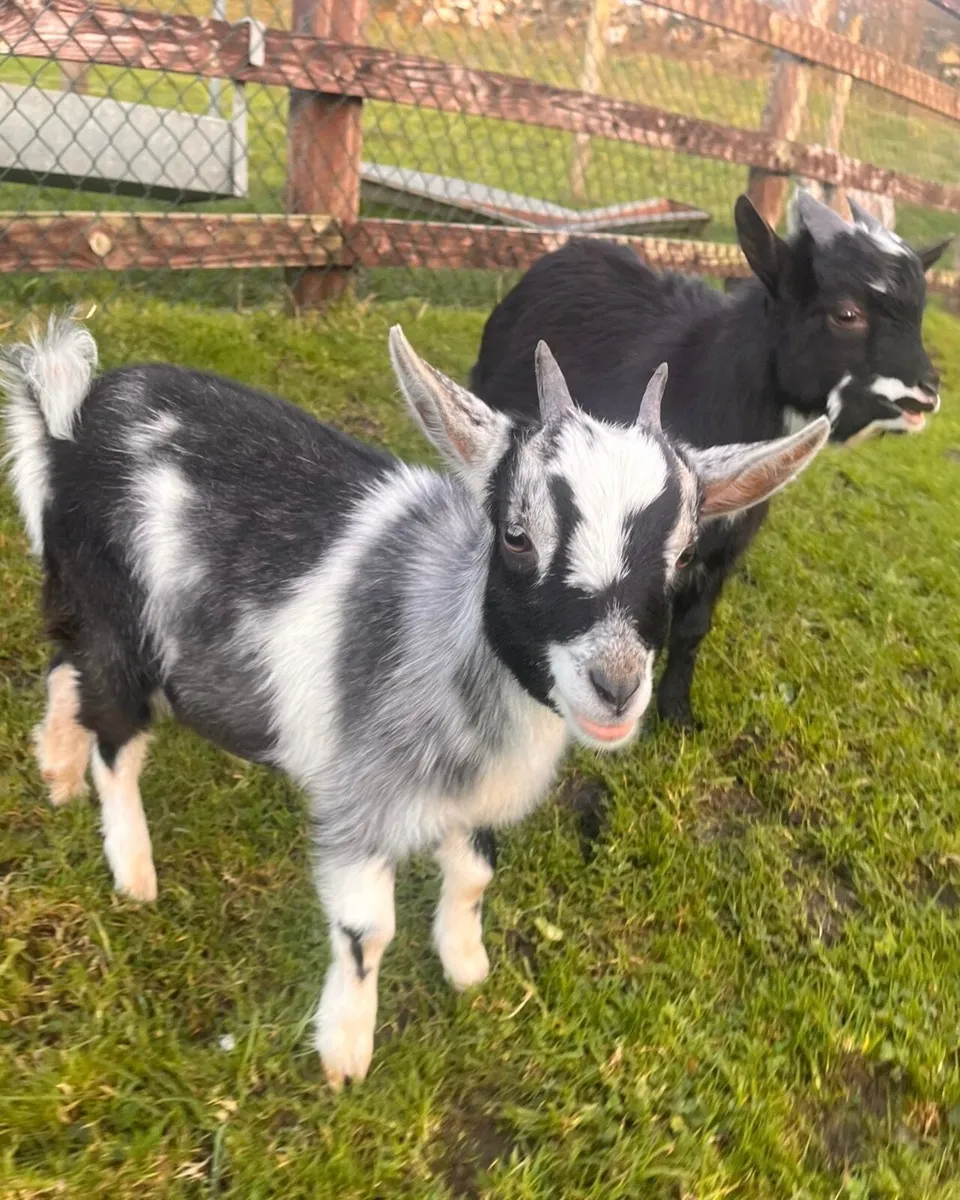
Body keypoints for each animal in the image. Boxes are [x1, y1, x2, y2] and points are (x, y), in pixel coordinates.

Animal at [2, 316, 828, 1088]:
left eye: (684, 555)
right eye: (516, 536)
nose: (617, 685)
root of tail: (73, 411)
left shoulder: (476, 797)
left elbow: (476, 874)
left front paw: (467, 967)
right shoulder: (362, 799)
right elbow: (366, 932)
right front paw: (344, 1054)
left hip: (84, 603)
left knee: (65, 669)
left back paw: (56, 771)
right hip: (121, 619)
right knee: (117, 737)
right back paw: (133, 871)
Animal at [469, 190, 951, 728]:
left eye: (919, 311)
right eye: (846, 313)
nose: (925, 395)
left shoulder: (723, 547)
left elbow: (692, 626)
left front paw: (676, 712)